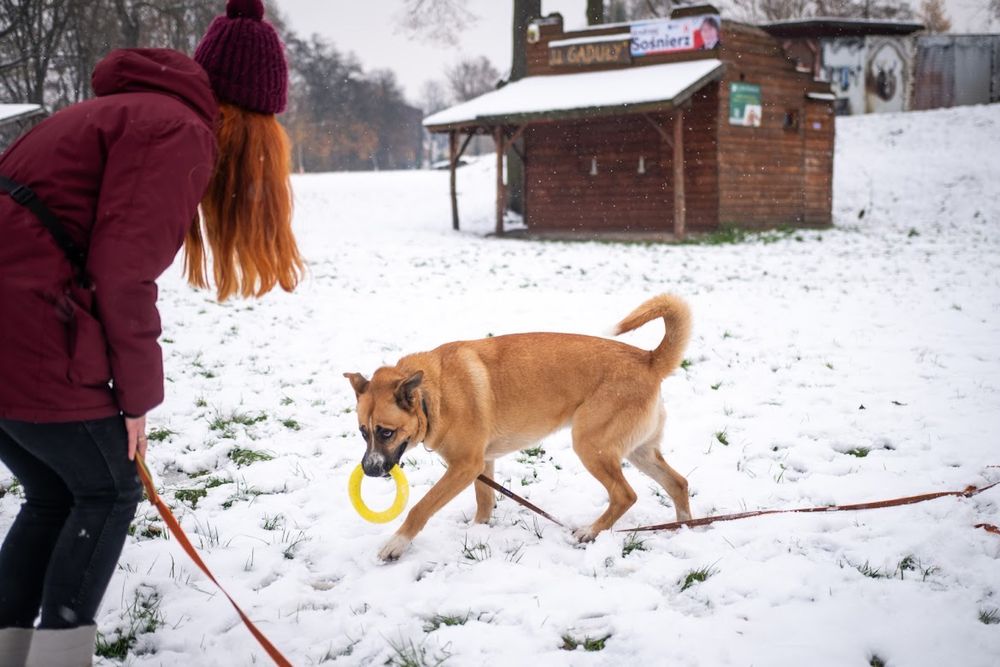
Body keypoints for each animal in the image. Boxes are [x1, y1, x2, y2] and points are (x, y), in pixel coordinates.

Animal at [342, 294, 688, 560]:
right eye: (363, 431)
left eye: (386, 431)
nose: (369, 470)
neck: (433, 394)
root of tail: (648, 359)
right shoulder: (482, 464)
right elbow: (485, 501)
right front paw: (478, 532)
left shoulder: (465, 466)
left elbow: (421, 508)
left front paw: (396, 544)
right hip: (639, 451)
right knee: (678, 483)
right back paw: (684, 529)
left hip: (592, 446)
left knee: (625, 495)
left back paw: (589, 532)